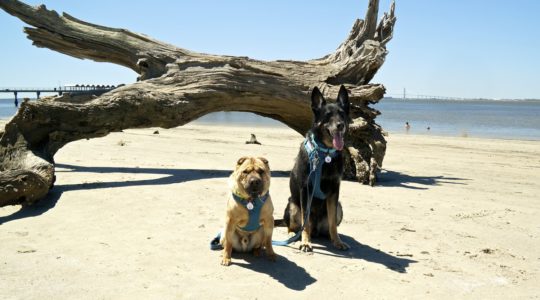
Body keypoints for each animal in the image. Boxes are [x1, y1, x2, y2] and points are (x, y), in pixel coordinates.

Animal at [282, 85, 350, 252]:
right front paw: (306, 242)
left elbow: (332, 223)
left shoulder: (334, 191)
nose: (340, 125)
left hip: (339, 207)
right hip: (293, 205)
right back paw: (294, 236)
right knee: (294, 226)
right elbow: (304, 223)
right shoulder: (305, 190)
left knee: (328, 226)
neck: (325, 153)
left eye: (342, 114)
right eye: (327, 115)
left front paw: (337, 241)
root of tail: (316, 229)